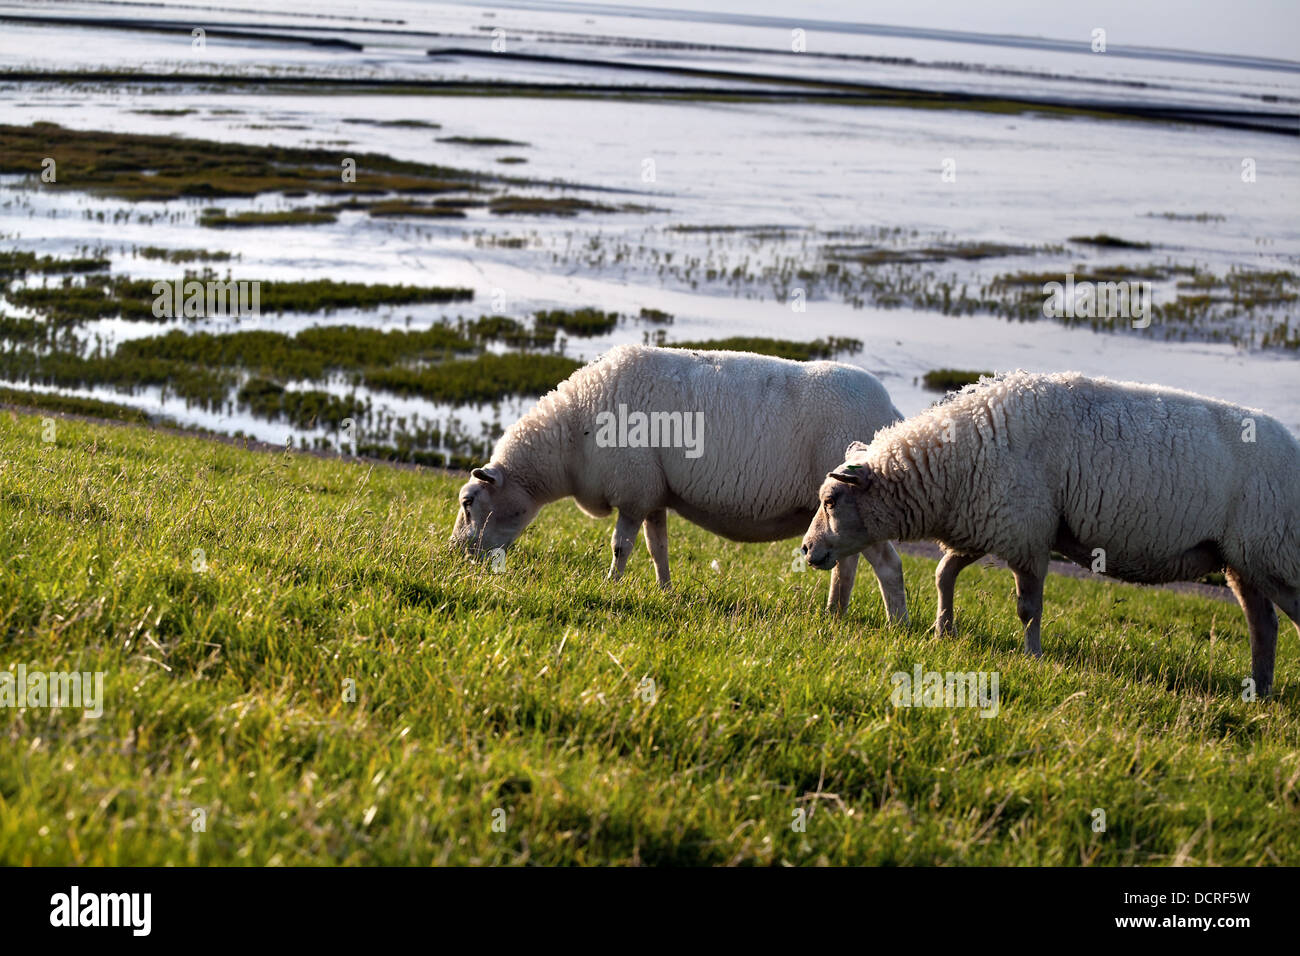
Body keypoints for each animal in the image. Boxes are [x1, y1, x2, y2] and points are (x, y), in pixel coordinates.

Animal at [450, 343, 909, 621]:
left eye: (468, 502)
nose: (453, 555)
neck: (570, 440)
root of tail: (893, 414)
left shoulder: (632, 489)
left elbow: (620, 546)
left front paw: (610, 587)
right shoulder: (653, 493)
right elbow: (658, 548)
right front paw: (665, 591)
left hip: (861, 506)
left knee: (888, 566)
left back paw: (897, 625)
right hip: (841, 516)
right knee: (846, 564)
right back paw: (834, 614)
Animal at [800, 370, 1300, 695]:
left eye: (831, 501)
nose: (806, 550)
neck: (956, 462)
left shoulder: (1027, 534)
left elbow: (1027, 608)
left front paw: (1033, 657)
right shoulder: (989, 524)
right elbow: (944, 573)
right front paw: (943, 631)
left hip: (1275, 553)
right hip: (1242, 561)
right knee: (1264, 625)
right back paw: (1260, 690)